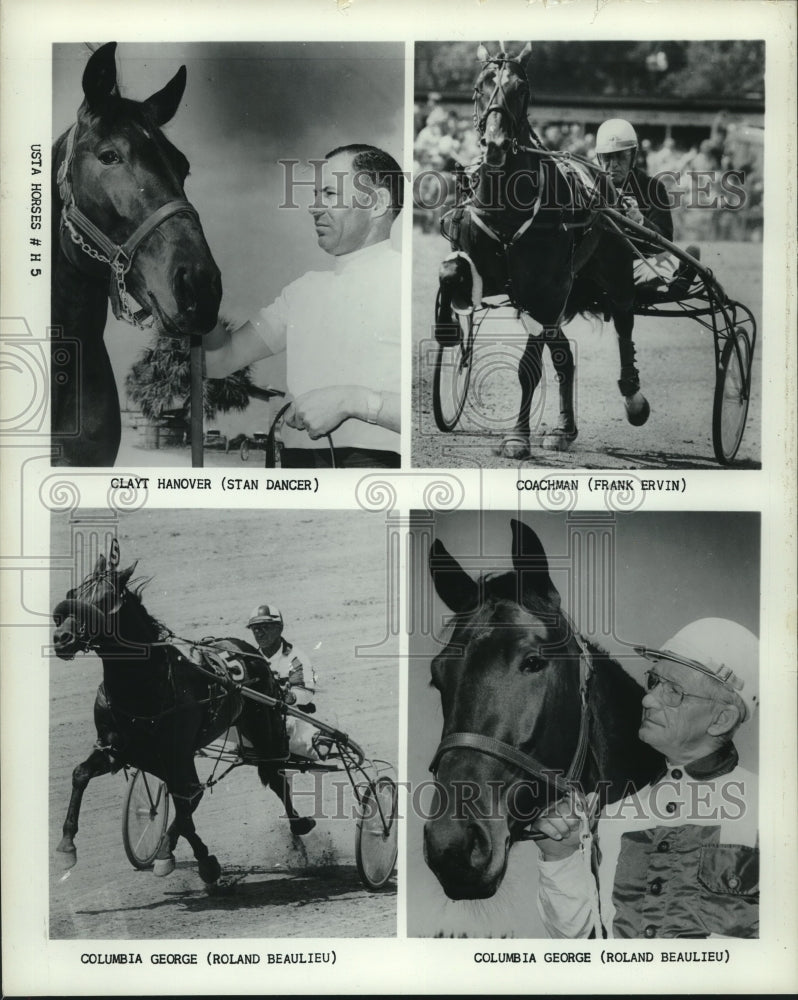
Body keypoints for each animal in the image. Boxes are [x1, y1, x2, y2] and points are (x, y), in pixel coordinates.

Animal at [52, 552, 316, 888]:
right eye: (74, 593)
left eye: (106, 599)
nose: (61, 638)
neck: (143, 685)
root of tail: (252, 652)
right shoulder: (118, 749)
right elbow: (80, 774)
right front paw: (66, 846)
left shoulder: (175, 752)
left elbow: (187, 803)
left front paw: (190, 859)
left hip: (264, 729)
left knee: (272, 776)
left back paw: (299, 824)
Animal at [438, 42, 648, 458]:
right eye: (480, 86)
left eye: (521, 89)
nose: (496, 145)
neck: (506, 207)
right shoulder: (484, 274)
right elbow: (450, 273)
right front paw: (449, 330)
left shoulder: (547, 290)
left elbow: (528, 368)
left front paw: (517, 437)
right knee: (564, 356)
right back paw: (565, 429)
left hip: (611, 273)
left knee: (623, 320)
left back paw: (633, 398)